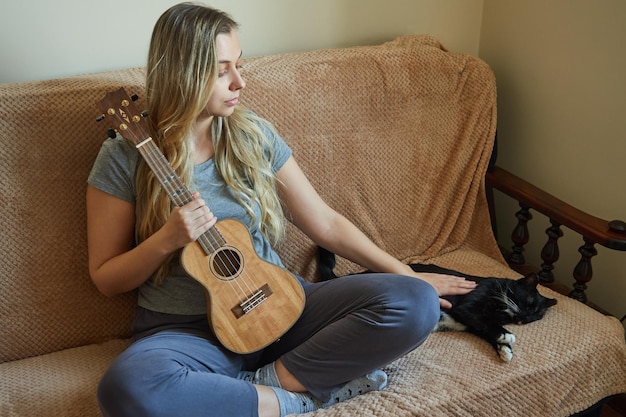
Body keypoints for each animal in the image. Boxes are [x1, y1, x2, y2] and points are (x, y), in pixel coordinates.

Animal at [316, 247, 556, 360]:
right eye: (529, 303)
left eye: (536, 316)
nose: (525, 318)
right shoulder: (468, 306)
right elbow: (486, 322)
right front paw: (507, 337)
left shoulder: (473, 324)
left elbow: (486, 330)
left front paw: (505, 350)